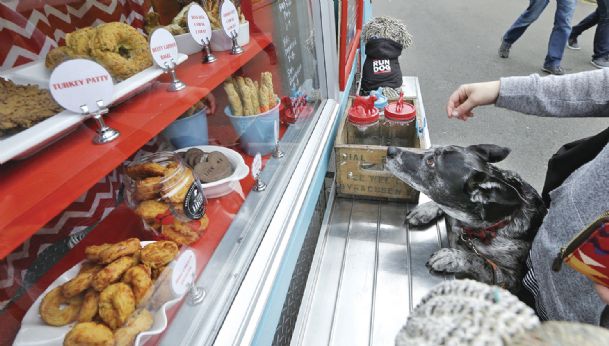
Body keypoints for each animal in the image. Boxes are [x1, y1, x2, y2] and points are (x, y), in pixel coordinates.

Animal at [384, 143, 548, 292]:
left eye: (431, 162)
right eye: (430, 148)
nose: (389, 150)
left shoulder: (511, 279)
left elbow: (480, 261)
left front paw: (453, 257)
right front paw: (426, 209)